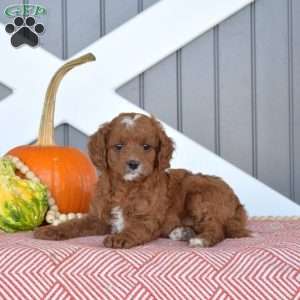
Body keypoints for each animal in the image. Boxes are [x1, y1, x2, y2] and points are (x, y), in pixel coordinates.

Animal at [34, 112, 248, 248]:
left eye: (146, 147)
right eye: (118, 146)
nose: (133, 164)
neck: (125, 187)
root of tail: (237, 203)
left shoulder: (147, 219)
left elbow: (135, 228)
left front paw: (120, 238)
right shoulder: (98, 218)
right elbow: (74, 224)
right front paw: (50, 231)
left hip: (199, 194)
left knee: (216, 227)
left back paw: (200, 240)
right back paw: (183, 232)